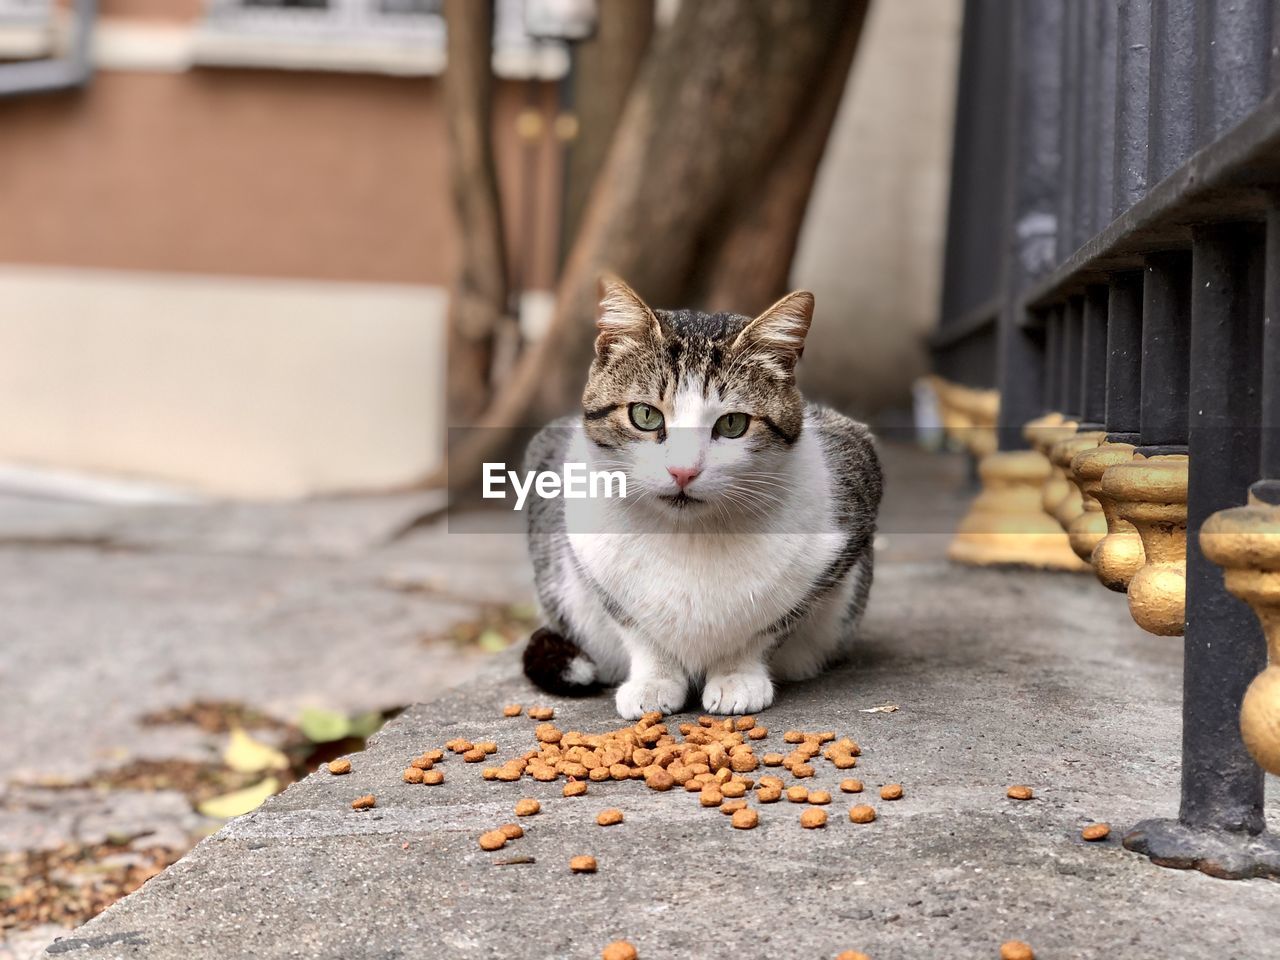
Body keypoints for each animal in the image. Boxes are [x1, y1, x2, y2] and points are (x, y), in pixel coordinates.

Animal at [519, 273, 880, 716]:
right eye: (645, 415)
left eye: (733, 424)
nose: (683, 471)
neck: (691, 533)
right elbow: (633, 623)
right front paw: (654, 680)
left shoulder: (848, 505)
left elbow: (772, 623)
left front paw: (737, 675)